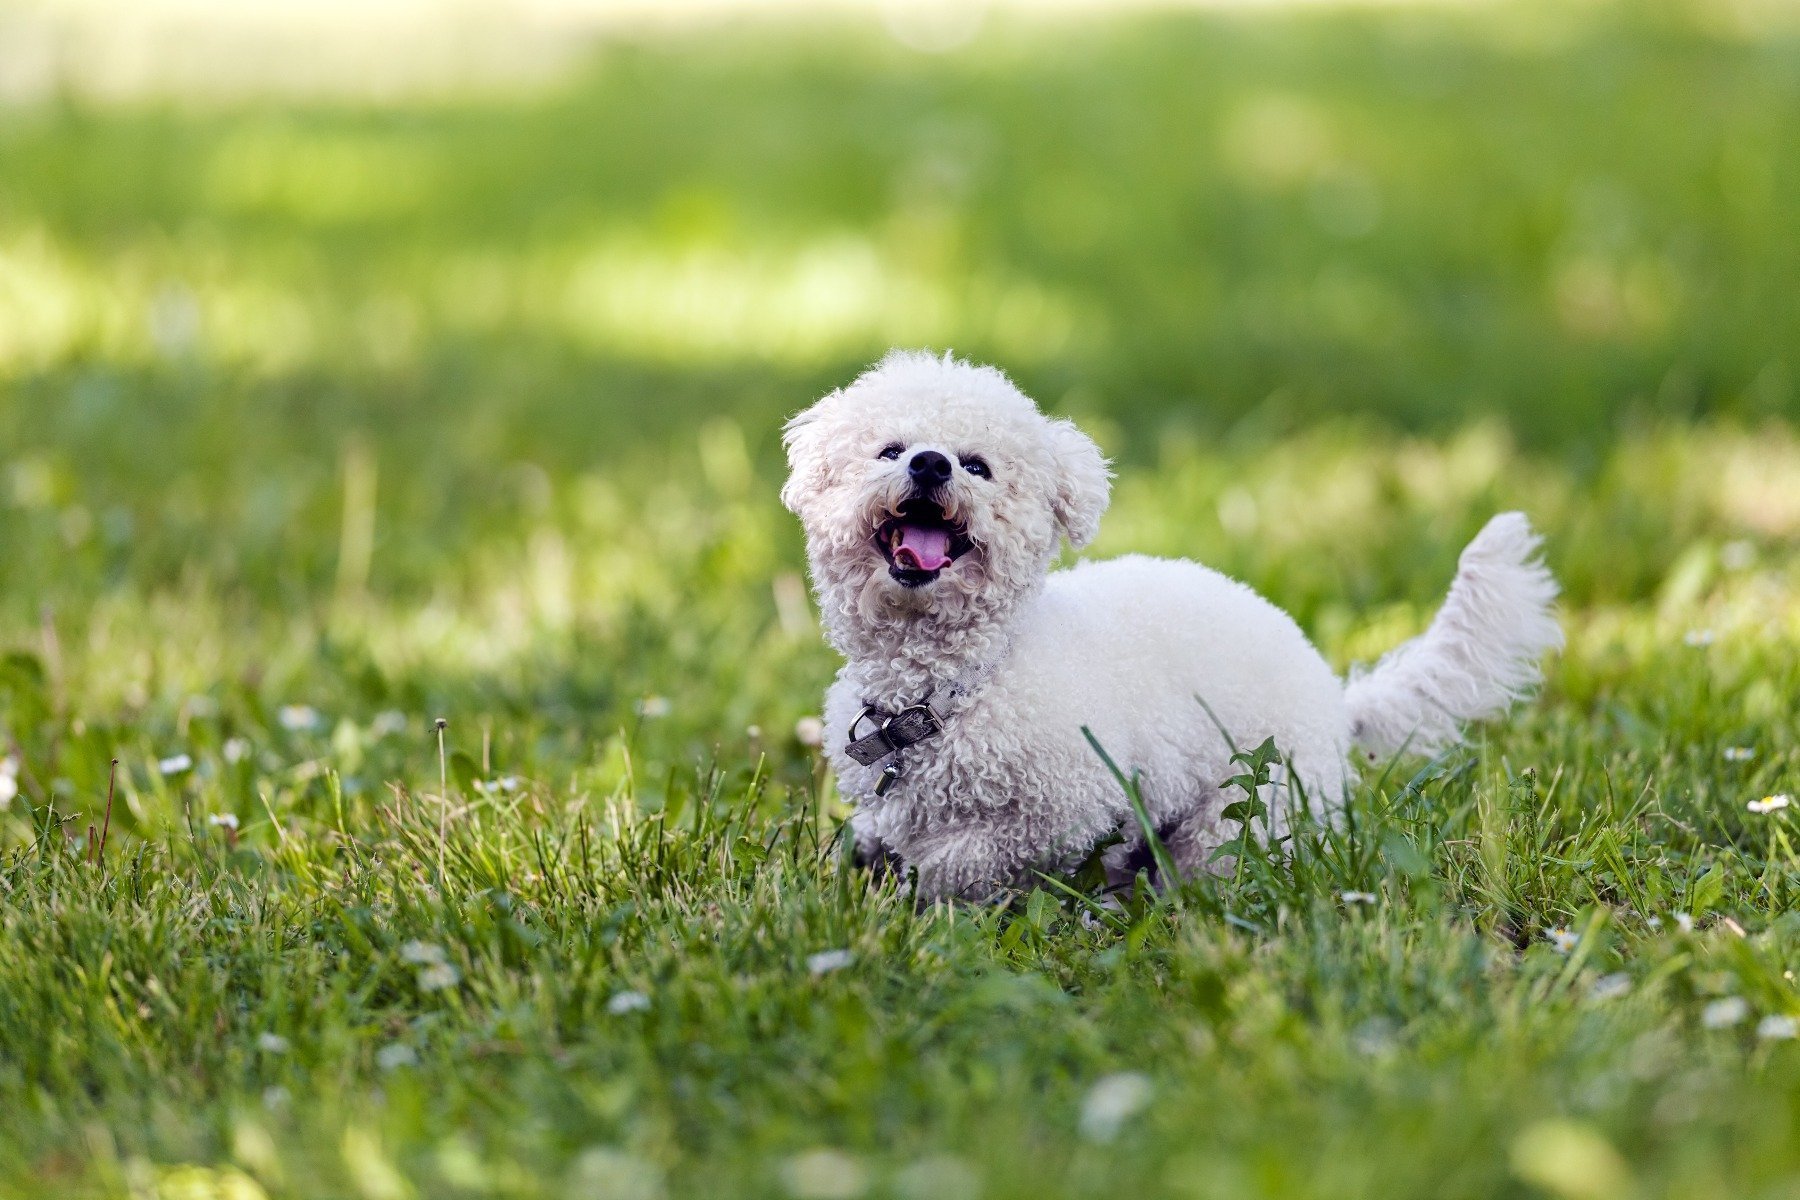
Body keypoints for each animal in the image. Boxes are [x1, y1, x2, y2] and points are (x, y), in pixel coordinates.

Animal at [784, 347, 1562, 899]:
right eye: (889, 450)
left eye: (978, 466)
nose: (931, 463)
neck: (949, 685)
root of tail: (1335, 701)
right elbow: (882, 836)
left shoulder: (1062, 807)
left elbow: (961, 860)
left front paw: (919, 893)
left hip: (1251, 808)